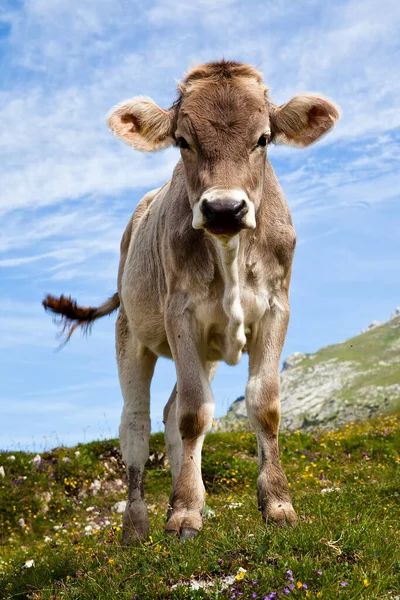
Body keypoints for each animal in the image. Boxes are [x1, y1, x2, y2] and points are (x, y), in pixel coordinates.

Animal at [43, 61, 338, 544]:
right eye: (183, 141)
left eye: (263, 138)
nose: (223, 209)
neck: (230, 249)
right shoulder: (179, 314)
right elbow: (195, 413)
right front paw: (183, 514)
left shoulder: (276, 308)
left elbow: (263, 405)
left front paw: (276, 503)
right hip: (131, 335)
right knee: (137, 422)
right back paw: (137, 525)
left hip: (208, 349)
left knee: (167, 414)